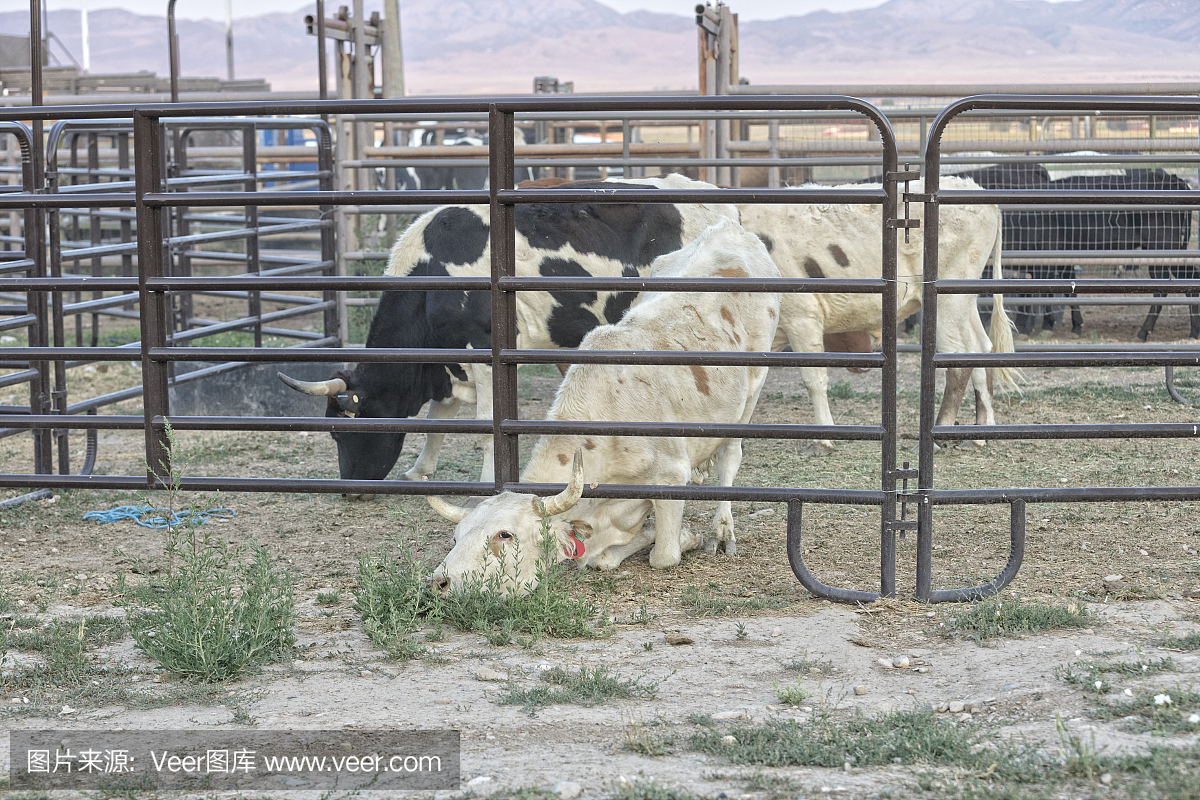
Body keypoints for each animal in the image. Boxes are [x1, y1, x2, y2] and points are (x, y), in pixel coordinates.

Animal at [278, 173, 739, 494]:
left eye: (340, 431)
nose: (350, 488)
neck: (432, 275)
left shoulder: (482, 351)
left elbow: (484, 430)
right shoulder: (449, 362)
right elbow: (437, 421)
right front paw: (419, 470)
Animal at [427, 215, 782, 592]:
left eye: (504, 535)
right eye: (456, 536)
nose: (440, 581)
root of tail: (728, 228)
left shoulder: (671, 478)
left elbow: (663, 555)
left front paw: (684, 537)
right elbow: (598, 555)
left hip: (751, 391)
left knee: (730, 456)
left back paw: (722, 530)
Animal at [739, 176, 1012, 453]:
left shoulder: (802, 317)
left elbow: (813, 378)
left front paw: (822, 440)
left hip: (947, 301)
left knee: (958, 356)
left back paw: (937, 439)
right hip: (964, 301)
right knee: (980, 348)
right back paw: (979, 433)